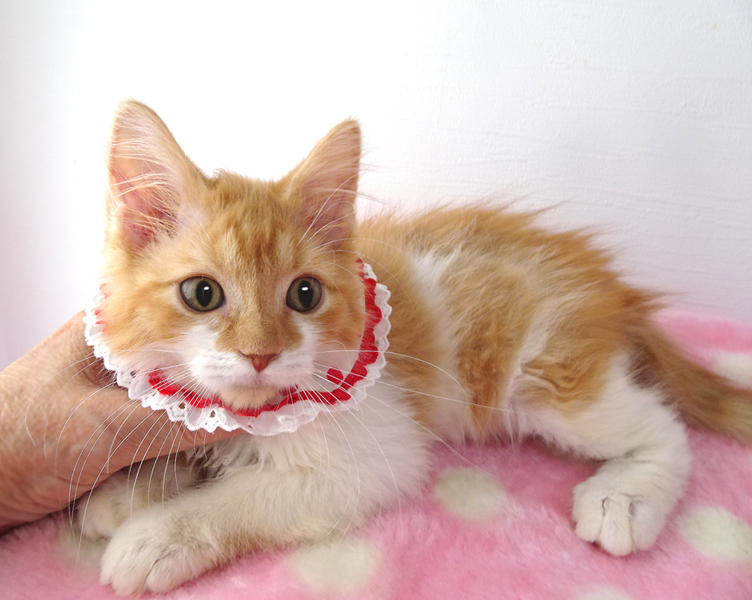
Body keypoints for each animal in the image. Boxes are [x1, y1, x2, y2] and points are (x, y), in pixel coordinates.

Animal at [75, 100, 752, 595]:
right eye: (202, 293)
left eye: (303, 294)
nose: (260, 355)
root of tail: (607, 285)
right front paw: (126, 491)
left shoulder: (378, 454)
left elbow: (252, 497)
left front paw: (157, 537)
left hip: (536, 369)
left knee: (659, 423)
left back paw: (626, 498)